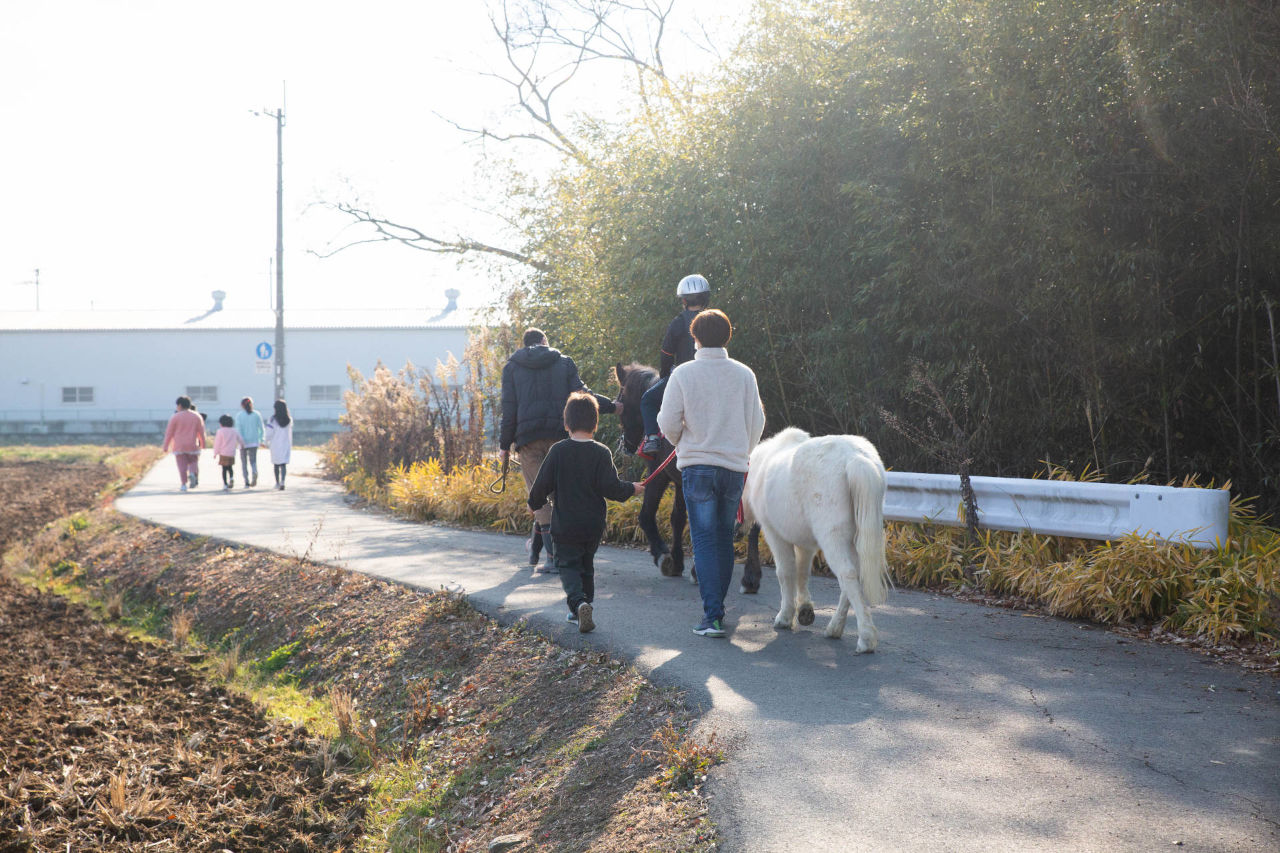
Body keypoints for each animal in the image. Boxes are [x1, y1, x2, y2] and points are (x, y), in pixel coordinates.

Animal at [742, 425, 890, 650]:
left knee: (848, 574)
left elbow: (785, 572)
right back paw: (834, 628)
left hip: (833, 539)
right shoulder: (806, 544)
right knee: (852, 578)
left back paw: (865, 638)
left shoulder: (773, 533)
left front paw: (785, 617)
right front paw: (804, 610)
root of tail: (855, 458)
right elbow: (802, 571)